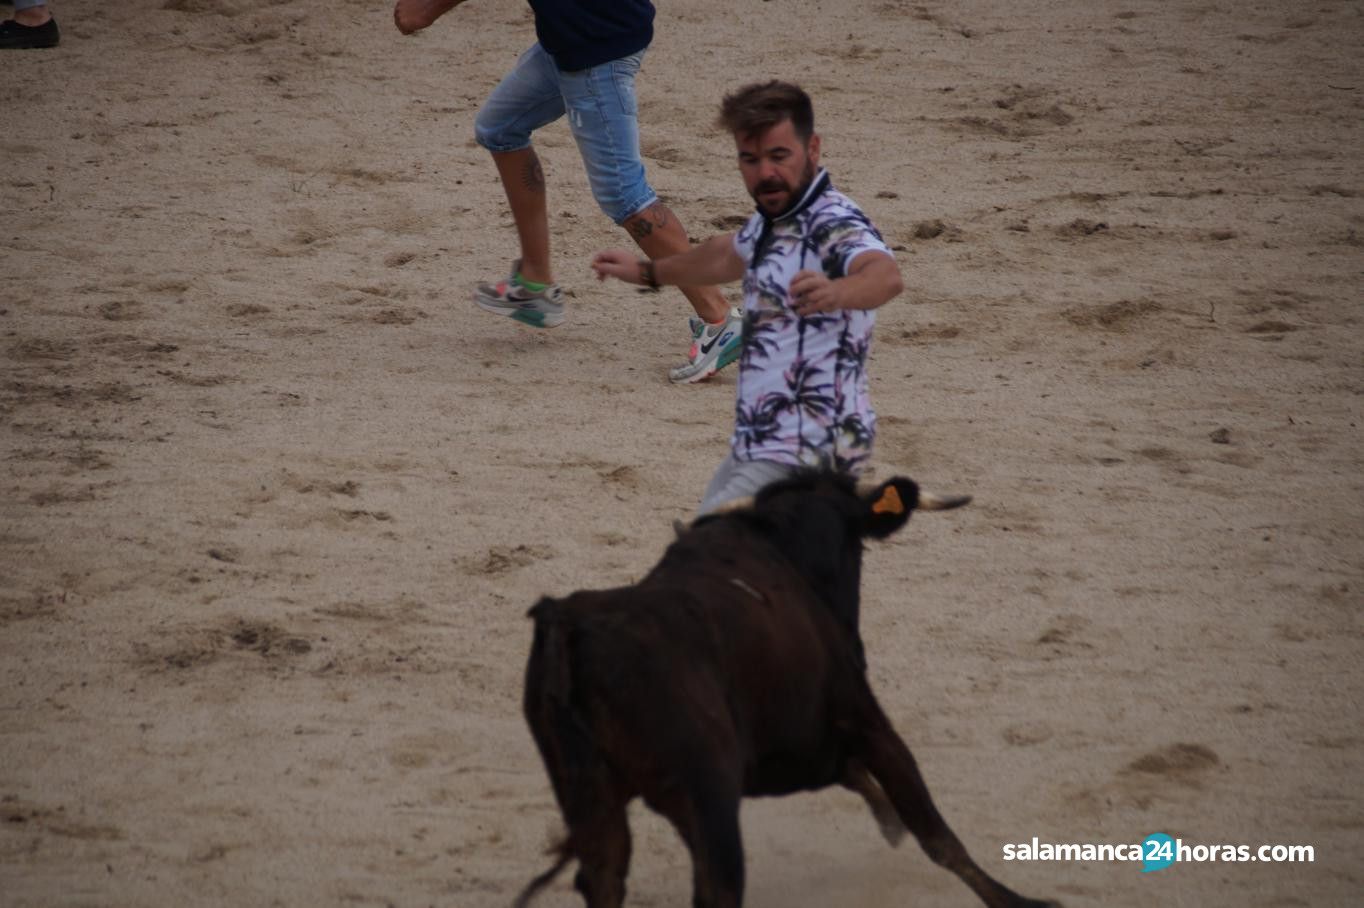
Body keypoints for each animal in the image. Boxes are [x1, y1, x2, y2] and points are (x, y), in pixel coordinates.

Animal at [512, 468, 1053, 905]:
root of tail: (568, 627)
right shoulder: (863, 719)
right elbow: (935, 832)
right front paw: (1021, 901)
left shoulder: (789, 748)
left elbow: (858, 780)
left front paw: (889, 823)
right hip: (707, 800)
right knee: (716, 888)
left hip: (592, 801)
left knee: (604, 878)